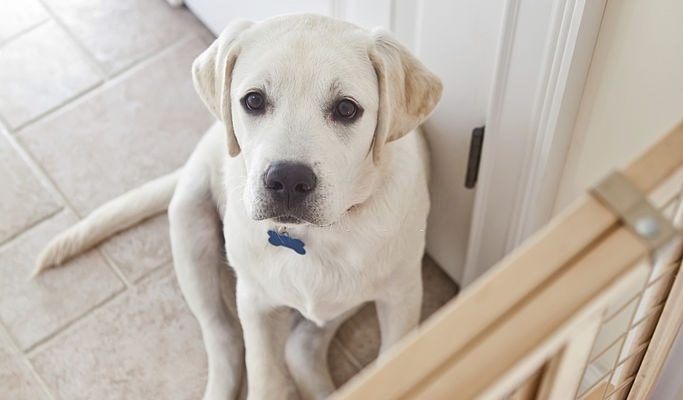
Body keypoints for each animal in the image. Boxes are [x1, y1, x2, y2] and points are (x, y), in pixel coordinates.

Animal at [36, 13, 444, 400]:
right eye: (254, 100)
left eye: (346, 109)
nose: (288, 180)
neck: (315, 236)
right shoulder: (256, 304)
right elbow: (264, 379)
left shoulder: (402, 296)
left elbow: (394, 366)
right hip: (191, 231)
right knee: (225, 340)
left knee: (300, 347)